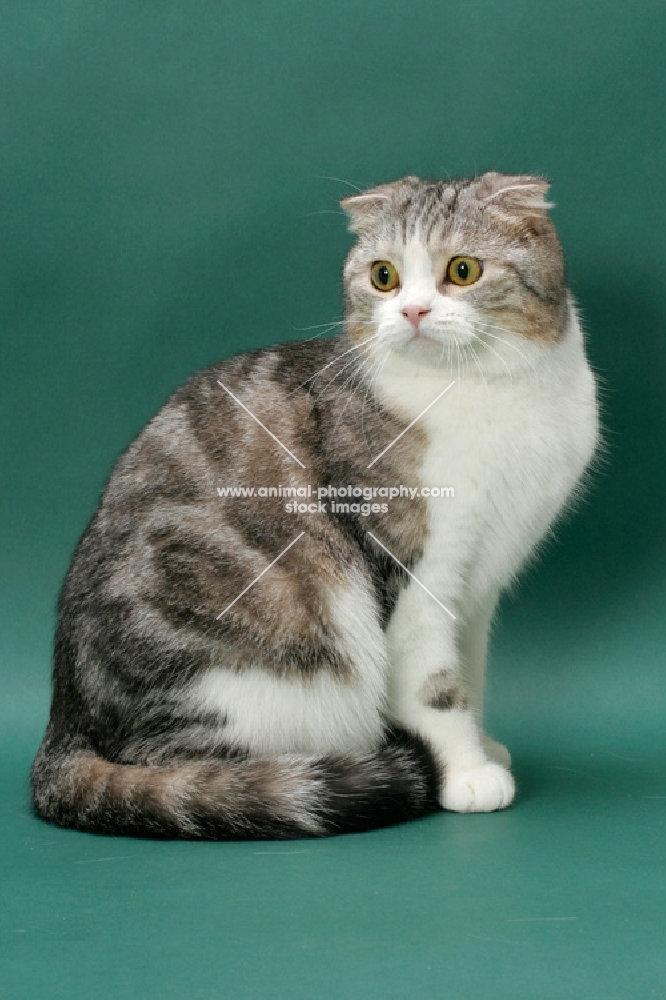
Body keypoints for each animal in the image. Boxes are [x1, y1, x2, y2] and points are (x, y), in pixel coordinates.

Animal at [29, 172, 596, 836]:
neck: (487, 394)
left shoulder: (478, 585)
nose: (413, 310)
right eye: (384, 276)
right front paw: (465, 771)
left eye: (463, 270)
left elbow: (470, 673)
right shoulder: (413, 571)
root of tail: (64, 722)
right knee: (184, 770)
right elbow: (435, 685)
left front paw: (482, 746)